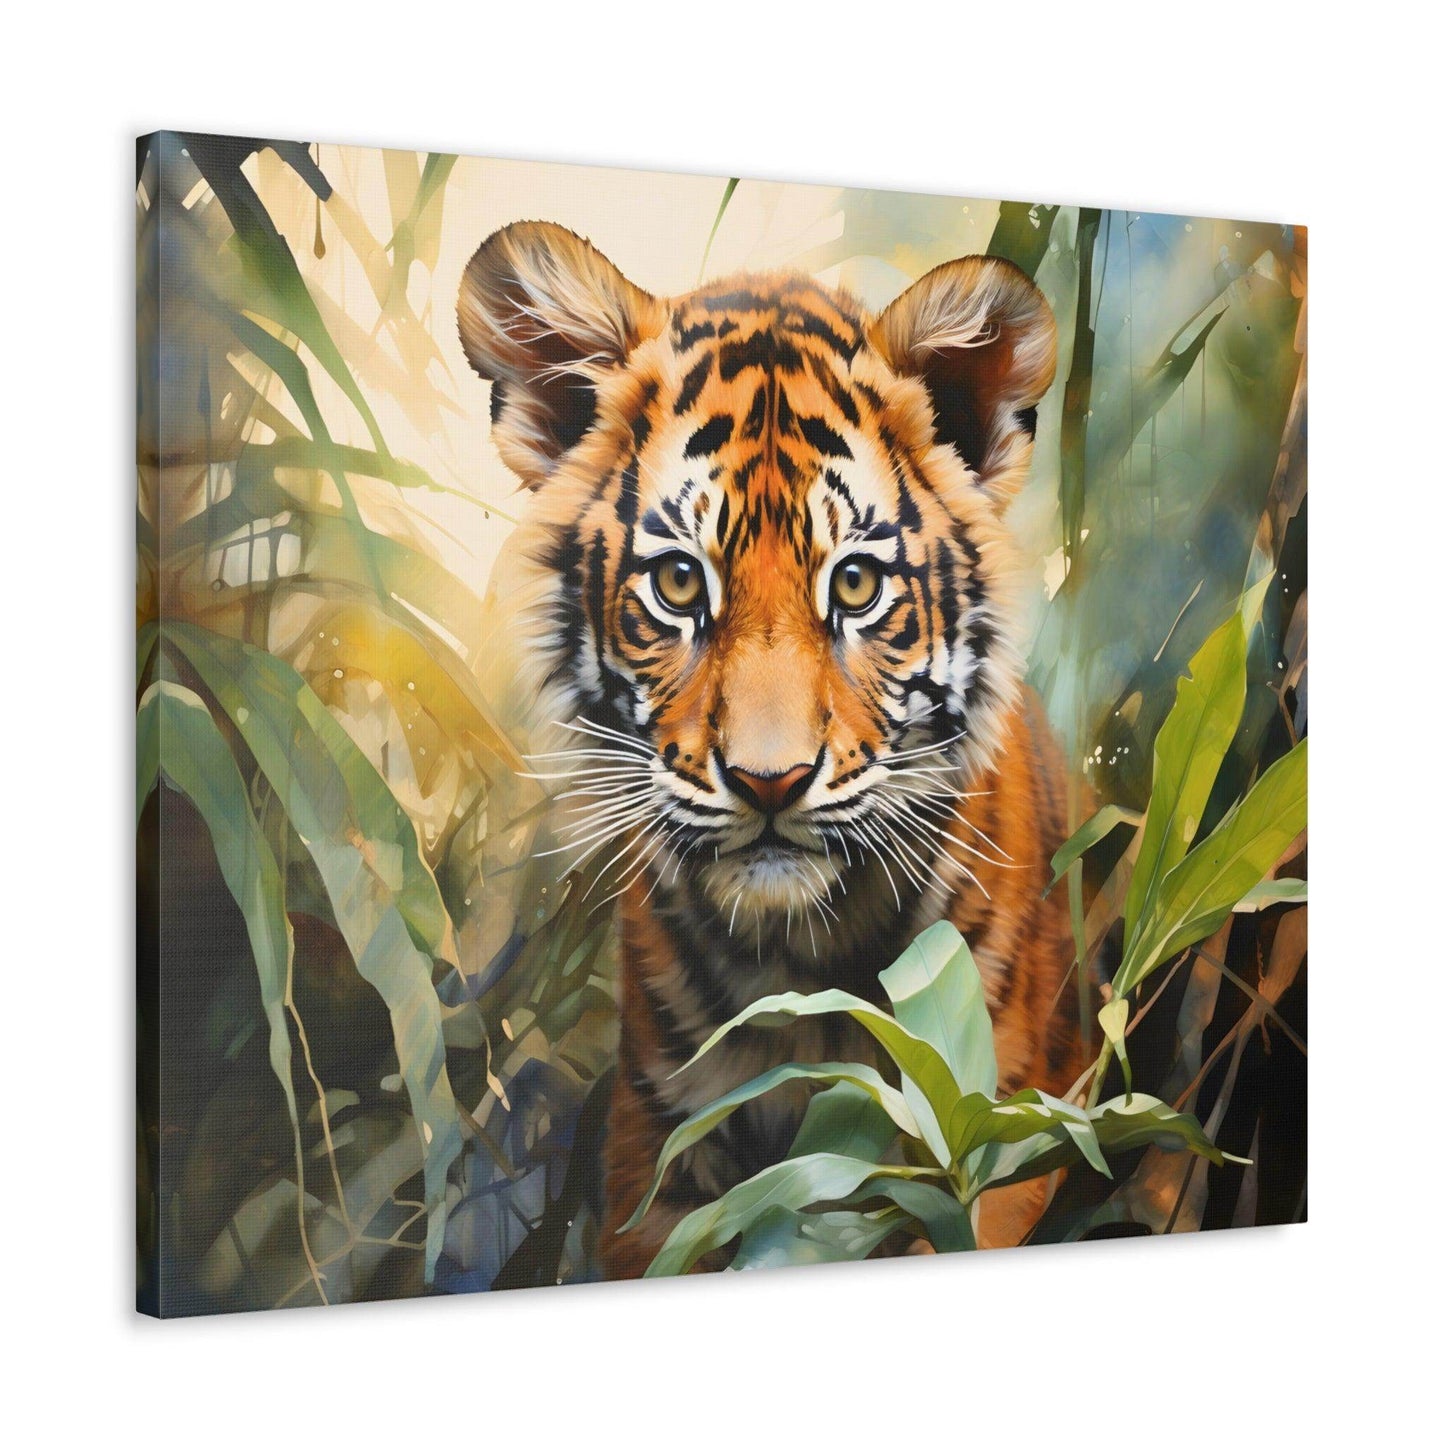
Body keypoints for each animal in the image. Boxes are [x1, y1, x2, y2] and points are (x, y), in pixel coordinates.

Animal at [457, 220, 1082, 1279]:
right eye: (677, 583)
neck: (799, 964)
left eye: (857, 584)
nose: (768, 781)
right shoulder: (655, 1164)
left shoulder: (993, 1150)